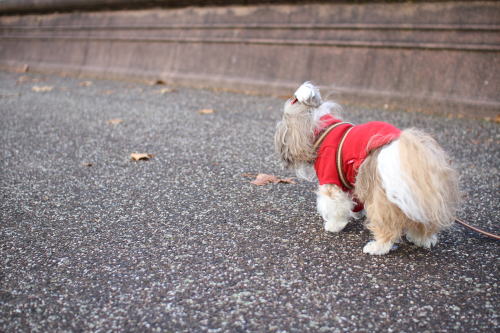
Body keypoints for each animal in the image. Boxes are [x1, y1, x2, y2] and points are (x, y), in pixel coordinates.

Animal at [276, 81, 458, 253]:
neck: (323, 129)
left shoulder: (331, 179)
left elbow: (335, 206)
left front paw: (334, 225)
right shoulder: (353, 178)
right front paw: (357, 213)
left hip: (382, 198)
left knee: (387, 228)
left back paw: (377, 247)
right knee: (423, 224)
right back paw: (422, 240)